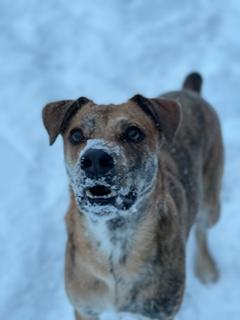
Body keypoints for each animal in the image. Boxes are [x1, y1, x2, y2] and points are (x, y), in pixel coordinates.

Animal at [42, 73, 223, 320]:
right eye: (76, 135)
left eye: (134, 133)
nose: (95, 159)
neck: (115, 240)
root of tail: (190, 91)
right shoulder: (85, 307)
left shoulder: (160, 311)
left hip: (211, 203)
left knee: (202, 230)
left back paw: (207, 269)